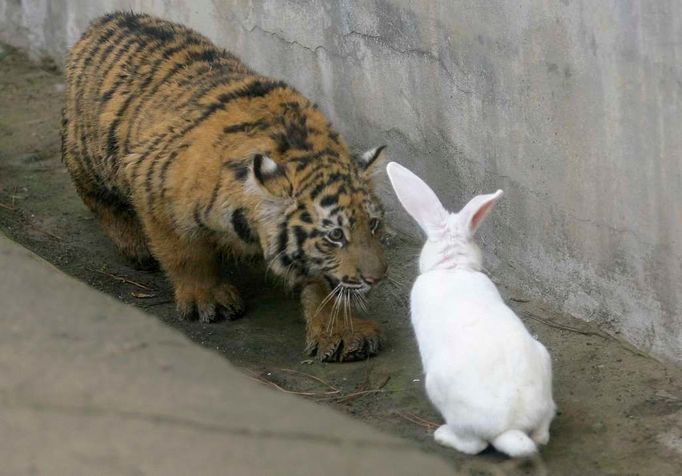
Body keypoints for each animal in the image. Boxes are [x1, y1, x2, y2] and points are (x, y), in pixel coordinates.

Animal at [386, 163, 556, 458]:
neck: (452, 267)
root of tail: (511, 426)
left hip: (439, 389)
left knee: (474, 445)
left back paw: (442, 435)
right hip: (544, 365)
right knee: (542, 433)